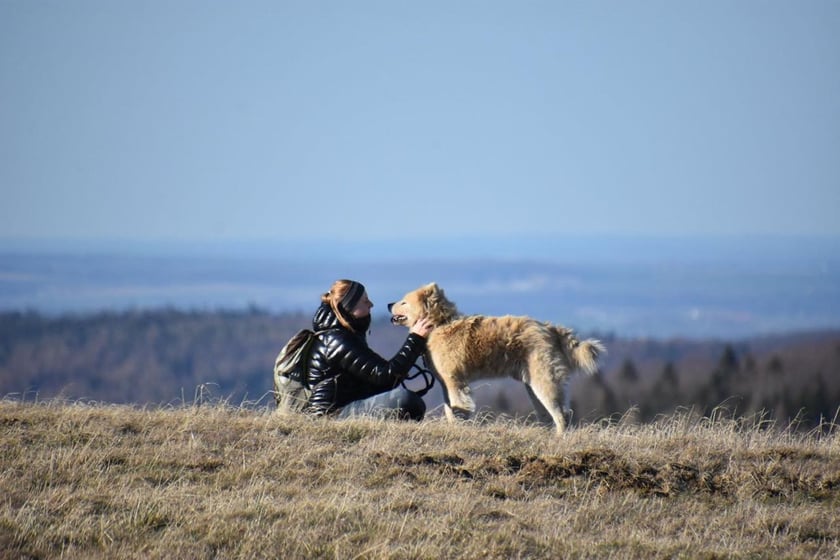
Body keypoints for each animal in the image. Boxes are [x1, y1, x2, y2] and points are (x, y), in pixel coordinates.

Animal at [388, 284, 604, 434]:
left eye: (404, 302)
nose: (389, 304)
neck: (439, 324)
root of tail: (549, 328)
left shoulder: (454, 380)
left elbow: (458, 405)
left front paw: (460, 427)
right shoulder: (445, 383)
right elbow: (449, 408)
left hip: (544, 380)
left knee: (562, 413)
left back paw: (559, 438)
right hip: (533, 385)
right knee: (547, 414)